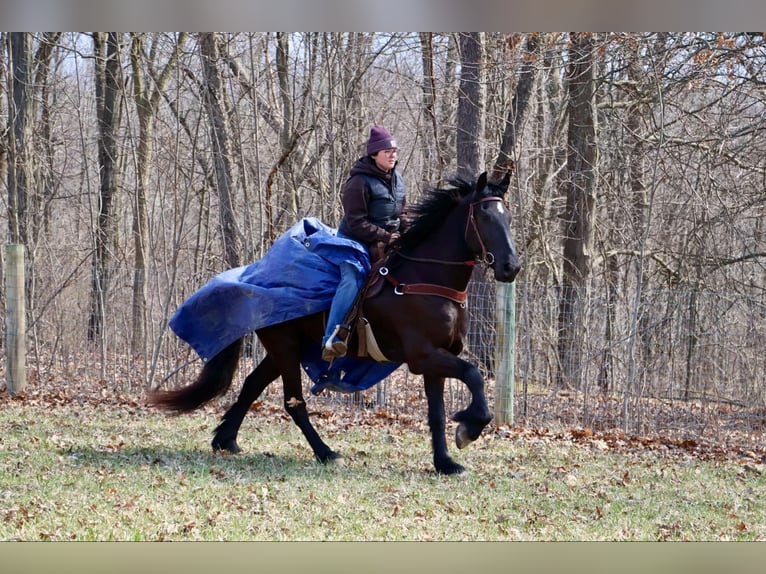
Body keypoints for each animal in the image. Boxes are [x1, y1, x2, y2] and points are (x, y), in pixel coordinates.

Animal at [149, 171, 521, 475]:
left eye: (508, 216)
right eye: (484, 215)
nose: (511, 267)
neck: (423, 279)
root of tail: (251, 276)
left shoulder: (436, 360)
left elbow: (438, 413)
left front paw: (445, 461)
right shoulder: (424, 356)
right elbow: (473, 375)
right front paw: (470, 428)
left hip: (285, 349)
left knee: (252, 385)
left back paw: (225, 439)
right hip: (285, 348)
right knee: (294, 403)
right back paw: (325, 452)